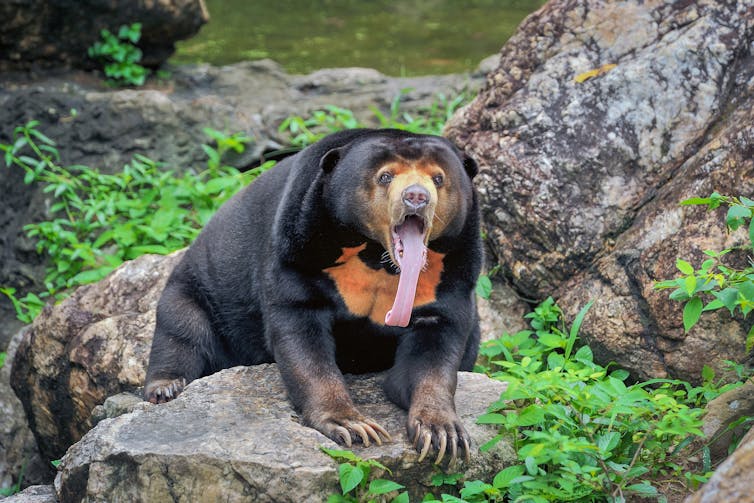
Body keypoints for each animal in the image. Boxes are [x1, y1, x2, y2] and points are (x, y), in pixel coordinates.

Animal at [144, 128, 482, 465]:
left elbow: (435, 348)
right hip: (194, 290)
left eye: (438, 178)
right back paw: (165, 388)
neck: (376, 256)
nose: (416, 197)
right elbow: (301, 336)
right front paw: (353, 426)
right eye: (385, 176)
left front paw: (442, 433)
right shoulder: (298, 248)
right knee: (181, 330)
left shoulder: (450, 274)